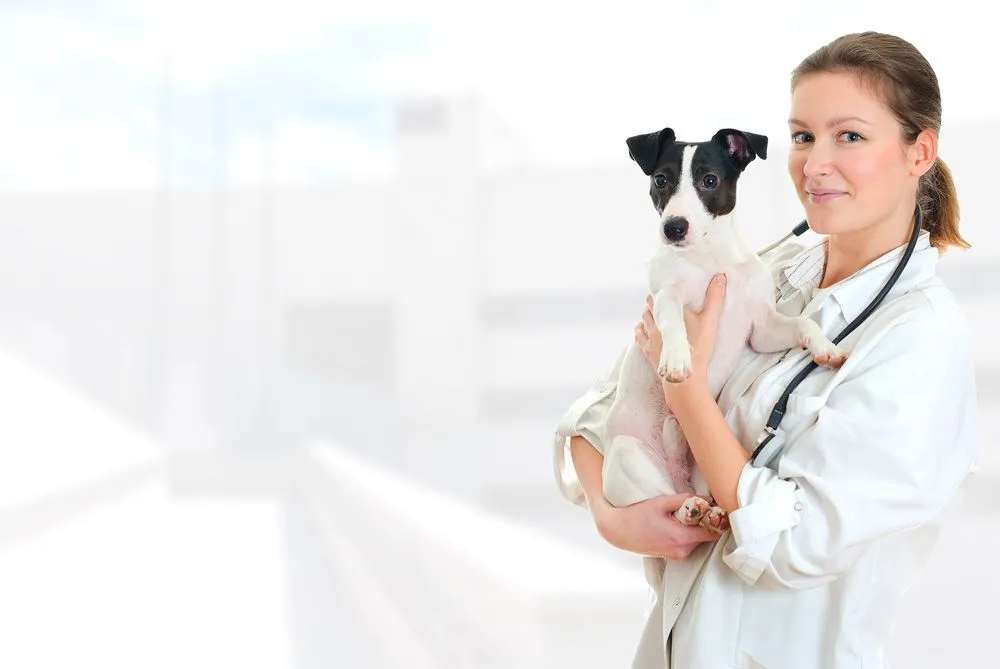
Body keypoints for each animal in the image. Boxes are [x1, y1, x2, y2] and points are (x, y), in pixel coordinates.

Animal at [600, 128, 844, 588]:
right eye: (661, 179)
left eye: (709, 180)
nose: (673, 228)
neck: (708, 260)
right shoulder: (666, 298)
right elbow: (672, 320)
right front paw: (678, 359)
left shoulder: (762, 328)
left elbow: (803, 323)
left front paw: (826, 347)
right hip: (627, 456)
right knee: (667, 505)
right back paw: (689, 510)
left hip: (700, 472)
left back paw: (708, 512)